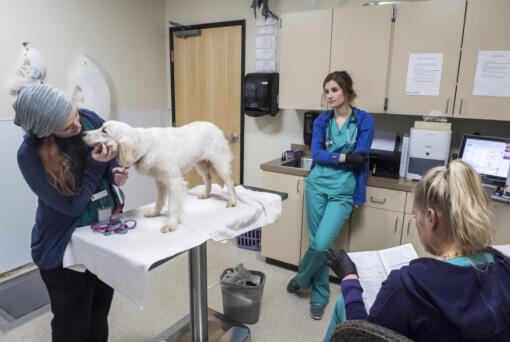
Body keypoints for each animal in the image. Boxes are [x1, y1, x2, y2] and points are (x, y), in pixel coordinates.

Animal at [82, 120, 237, 232]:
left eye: (104, 130)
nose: (83, 133)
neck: (145, 145)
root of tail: (216, 128)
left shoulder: (174, 182)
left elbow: (172, 205)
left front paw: (171, 224)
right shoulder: (160, 181)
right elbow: (159, 200)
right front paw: (155, 213)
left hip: (220, 164)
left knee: (230, 183)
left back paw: (232, 201)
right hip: (201, 165)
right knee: (208, 179)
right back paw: (206, 194)